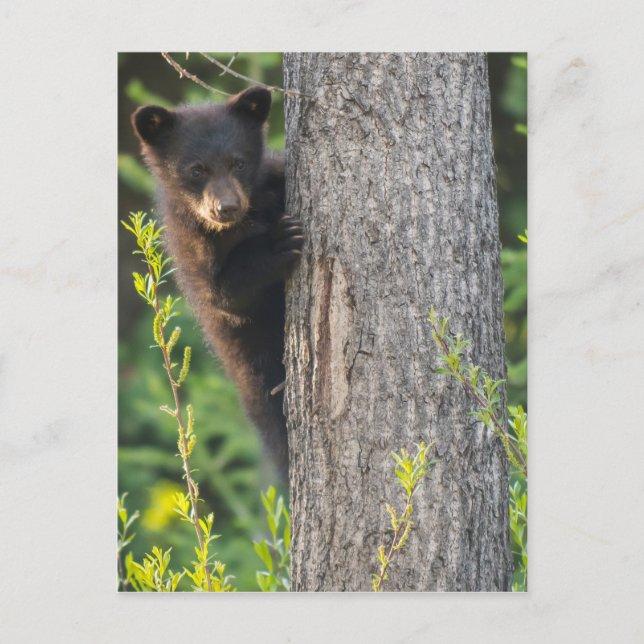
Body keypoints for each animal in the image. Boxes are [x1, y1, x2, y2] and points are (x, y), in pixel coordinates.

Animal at [131, 87, 302, 479]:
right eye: (196, 170)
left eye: (238, 162)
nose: (226, 207)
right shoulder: (191, 249)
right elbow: (226, 293)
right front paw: (280, 241)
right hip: (252, 368)